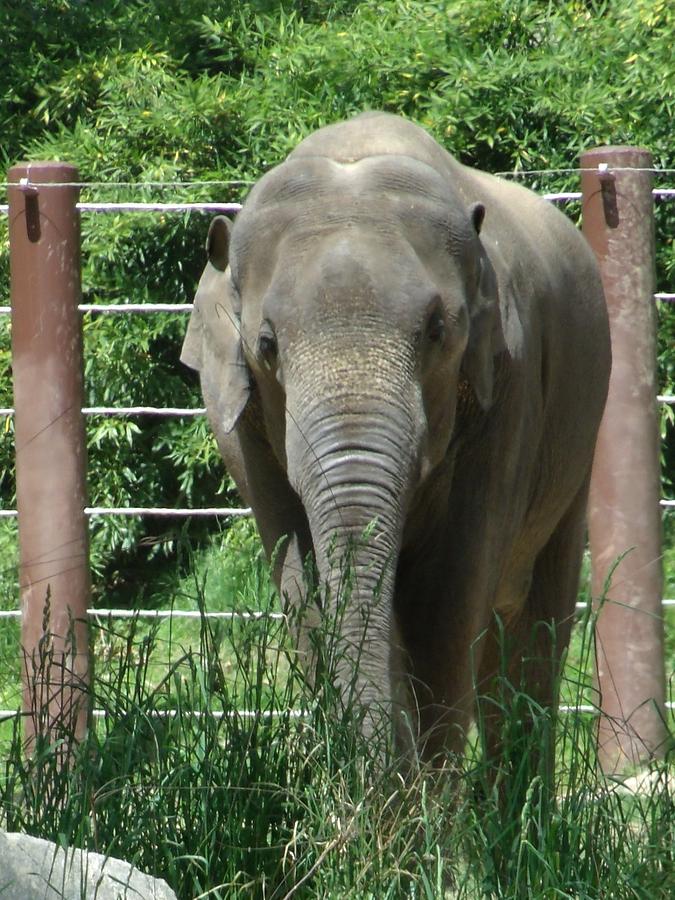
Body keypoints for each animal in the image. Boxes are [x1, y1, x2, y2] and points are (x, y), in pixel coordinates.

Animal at [184, 109, 612, 764]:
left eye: (438, 330)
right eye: (266, 344)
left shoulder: (507, 390)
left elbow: (446, 601)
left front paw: (423, 790)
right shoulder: (238, 425)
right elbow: (305, 591)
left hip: (579, 434)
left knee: (532, 634)